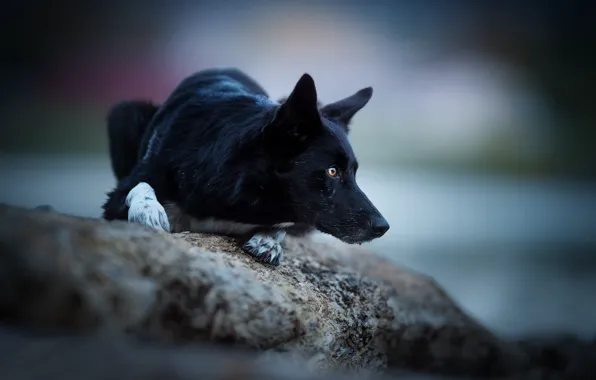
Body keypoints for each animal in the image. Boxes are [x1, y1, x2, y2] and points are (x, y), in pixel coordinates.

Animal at [102, 67, 392, 264]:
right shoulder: (123, 192)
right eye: (332, 171)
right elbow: (139, 187)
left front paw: (269, 240)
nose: (383, 227)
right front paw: (148, 211)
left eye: (353, 172)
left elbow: (283, 227)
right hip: (123, 114)